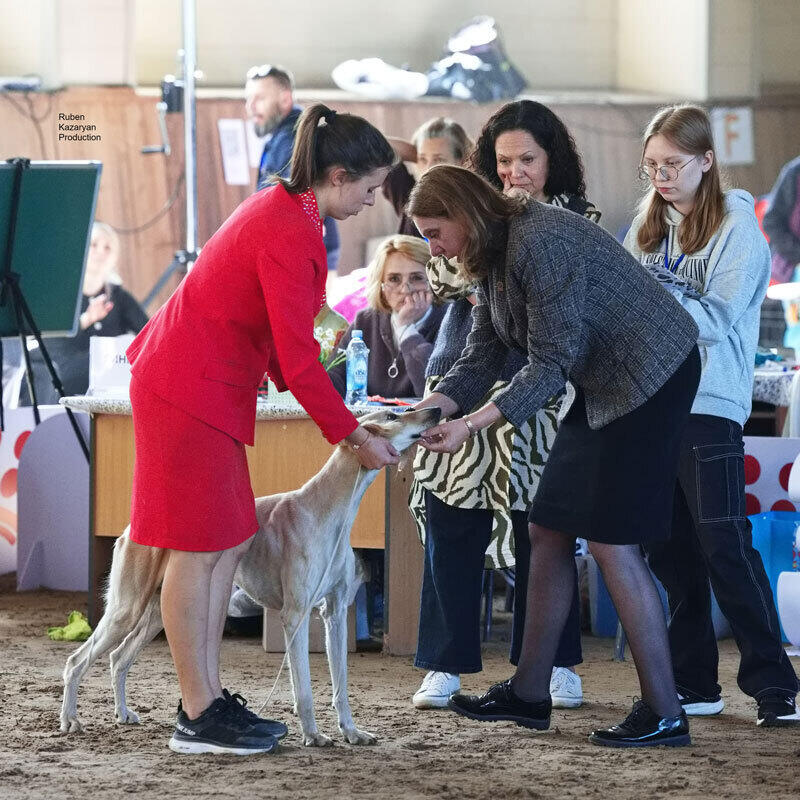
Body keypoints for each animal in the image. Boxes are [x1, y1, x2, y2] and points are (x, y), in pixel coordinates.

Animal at [59, 410, 440, 748]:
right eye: (393, 415)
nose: (435, 410)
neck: (324, 510)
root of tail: (131, 526)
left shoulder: (334, 613)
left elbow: (341, 686)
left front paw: (352, 732)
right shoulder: (295, 616)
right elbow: (303, 688)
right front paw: (313, 735)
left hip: (158, 611)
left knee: (118, 658)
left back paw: (123, 713)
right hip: (127, 608)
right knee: (77, 661)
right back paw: (70, 720)